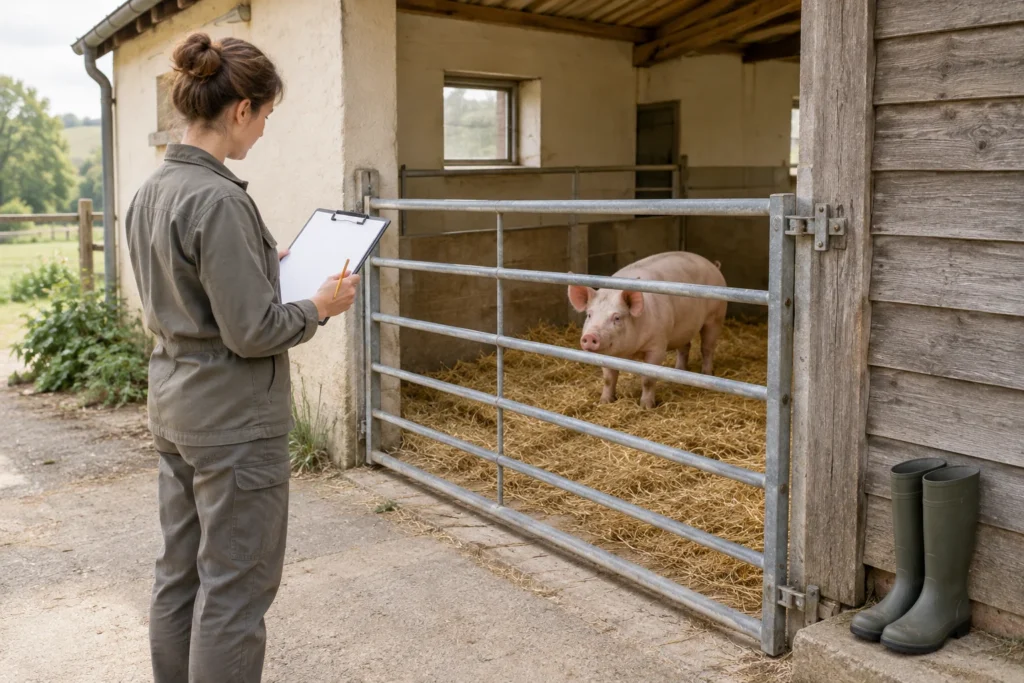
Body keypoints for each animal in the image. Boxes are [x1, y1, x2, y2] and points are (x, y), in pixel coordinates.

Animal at [568, 252, 727, 409]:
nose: (590, 336)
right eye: (589, 315)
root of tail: (713, 266)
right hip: (683, 329)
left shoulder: (657, 345)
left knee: (707, 348)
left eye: (617, 318)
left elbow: (648, 379)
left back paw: (707, 374)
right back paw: (676, 373)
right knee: (685, 347)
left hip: (715, 317)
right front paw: (604, 402)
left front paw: (646, 407)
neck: (630, 352)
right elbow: (608, 378)